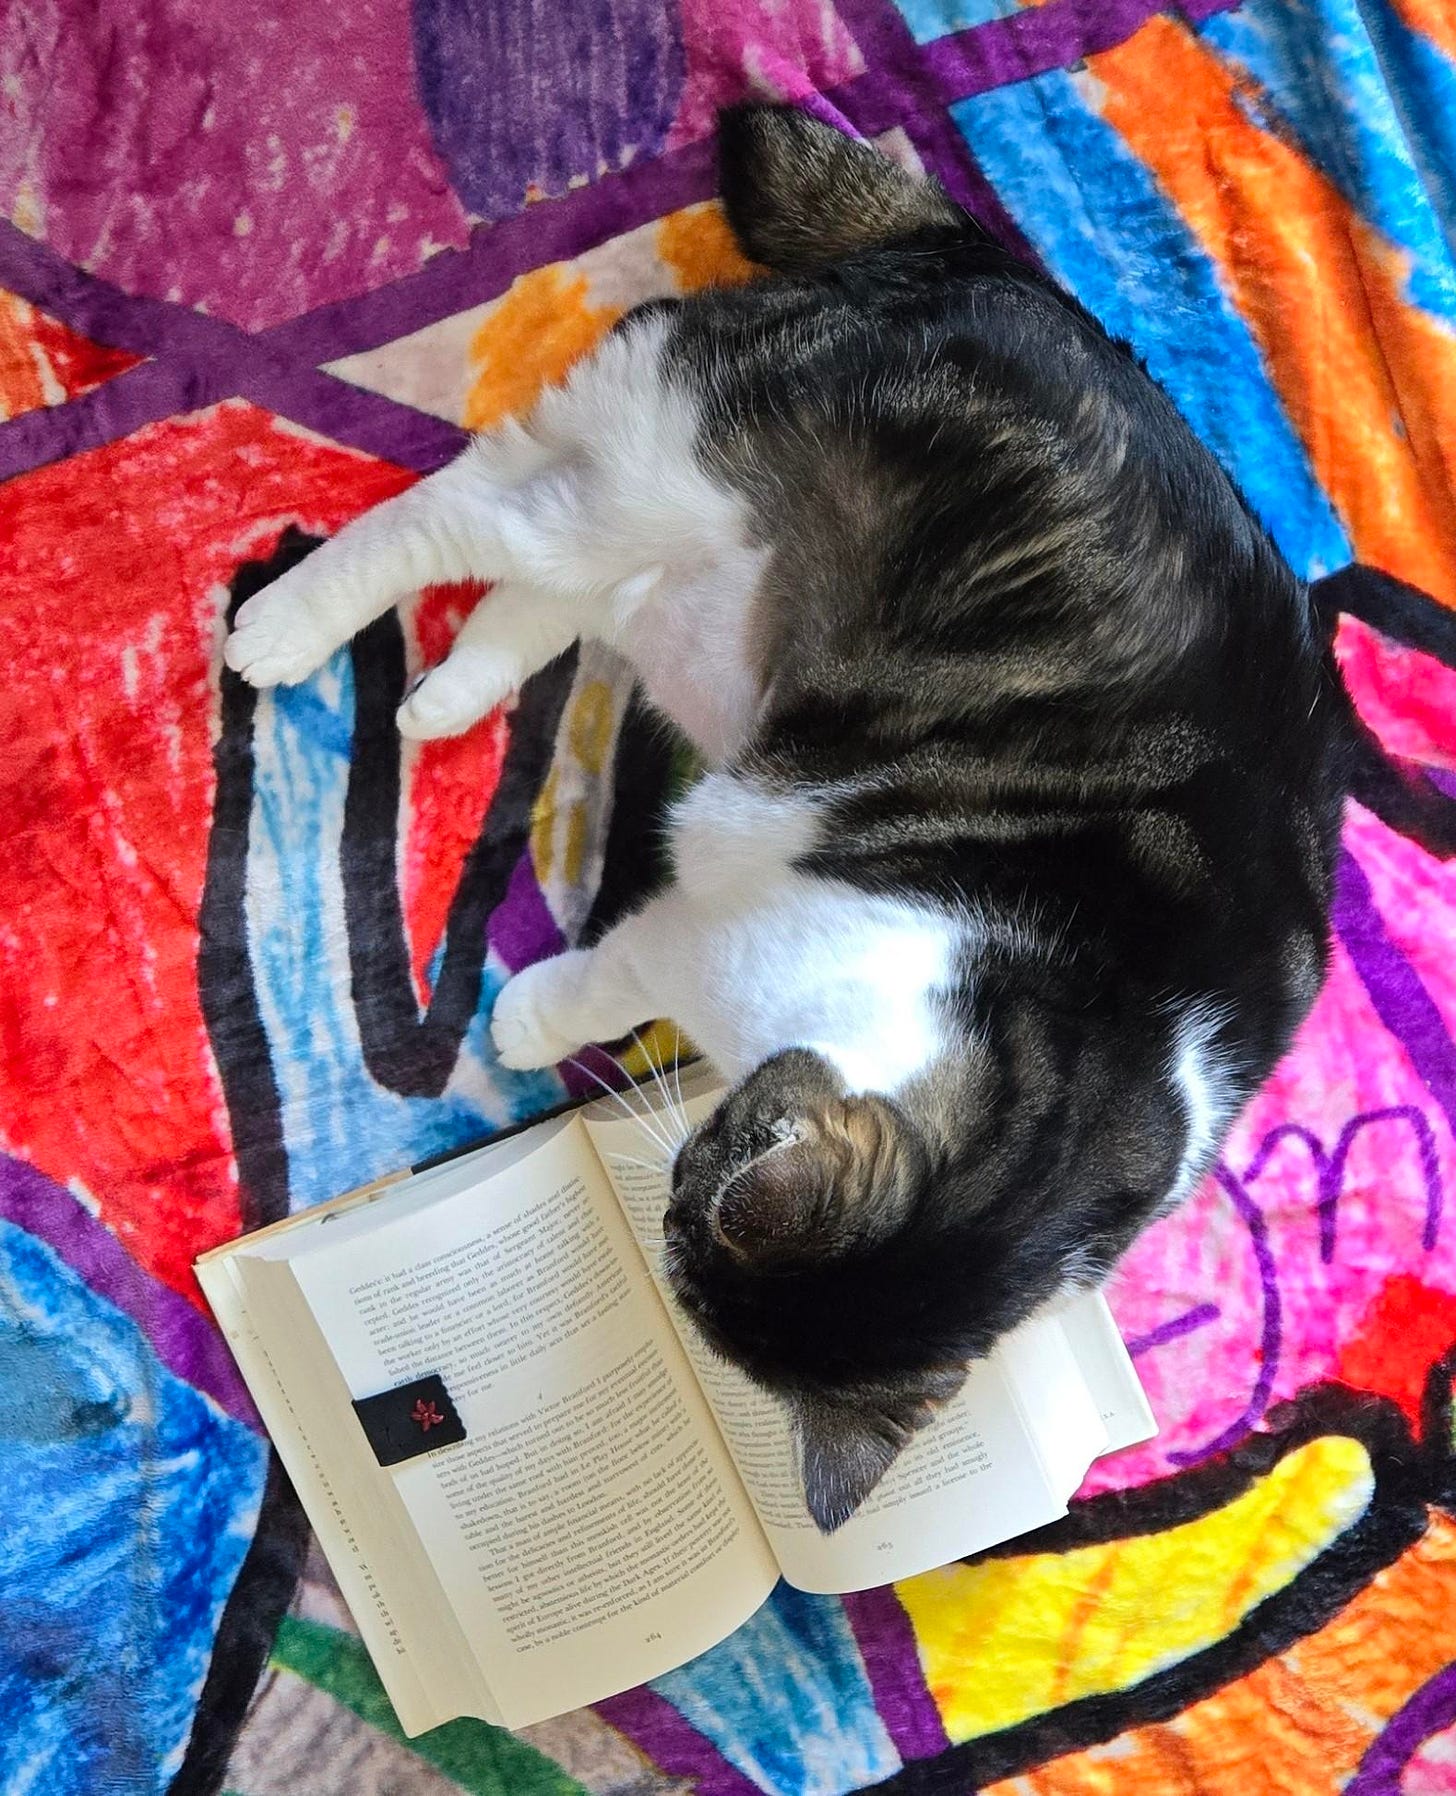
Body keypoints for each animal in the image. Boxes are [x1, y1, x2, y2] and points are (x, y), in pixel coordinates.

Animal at [228, 101, 1357, 1530]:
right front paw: (533, 1018)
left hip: (704, 603)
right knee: (468, 512)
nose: (664, 1225)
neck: (1049, 1108)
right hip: (668, 467)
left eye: (692, 1228)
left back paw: (446, 696)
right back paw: (285, 625)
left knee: (565, 585)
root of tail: (987, 263)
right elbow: (614, 968)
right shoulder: (716, 926)